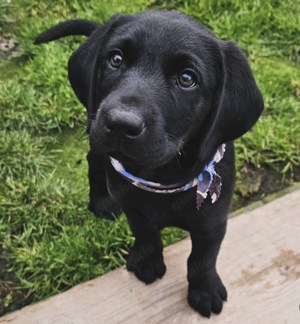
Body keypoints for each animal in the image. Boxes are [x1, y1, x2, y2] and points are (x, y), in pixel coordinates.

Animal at [36, 11, 264, 318]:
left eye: (187, 78)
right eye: (116, 59)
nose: (121, 123)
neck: (162, 176)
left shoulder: (213, 221)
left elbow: (202, 259)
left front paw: (205, 291)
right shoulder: (131, 204)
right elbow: (146, 234)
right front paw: (148, 263)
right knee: (94, 161)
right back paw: (101, 201)